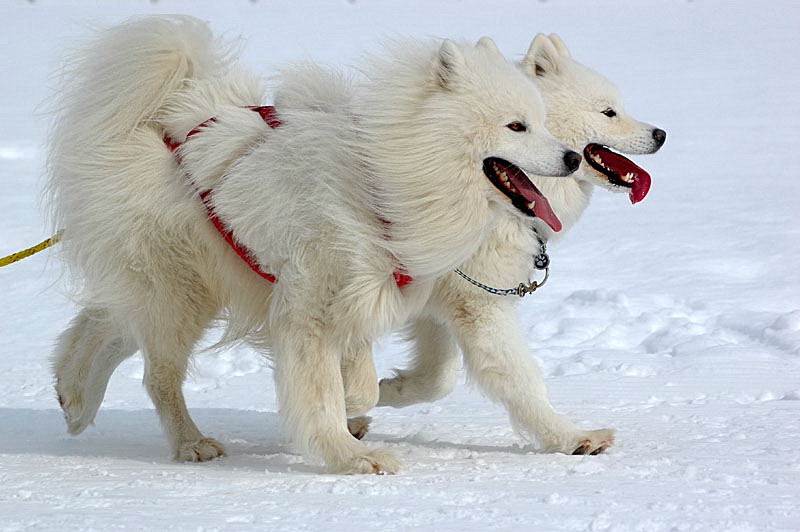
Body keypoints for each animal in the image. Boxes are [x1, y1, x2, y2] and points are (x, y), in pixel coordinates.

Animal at [47, 16, 580, 474]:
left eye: (542, 122)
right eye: (516, 126)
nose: (573, 157)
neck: (386, 182)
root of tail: (156, 131)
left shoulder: (376, 294)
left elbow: (373, 375)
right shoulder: (311, 305)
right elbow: (326, 390)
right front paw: (352, 454)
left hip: (193, 286)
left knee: (105, 322)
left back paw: (73, 398)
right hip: (181, 292)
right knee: (157, 374)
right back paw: (190, 443)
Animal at [346, 33, 664, 454]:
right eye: (608, 112)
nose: (661, 134)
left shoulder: (444, 304)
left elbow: (436, 380)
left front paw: (382, 392)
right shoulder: (481, 305)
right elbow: (521, 379)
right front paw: (572, 437)